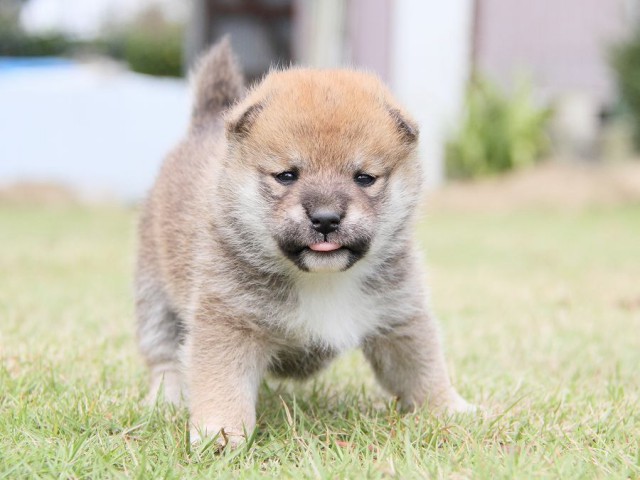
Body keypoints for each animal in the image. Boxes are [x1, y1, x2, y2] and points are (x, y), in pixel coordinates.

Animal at [136, 39, 476, 448]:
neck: (322, 279)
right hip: (155, 297)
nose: (326, 218)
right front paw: (220, 433)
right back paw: (165, 401)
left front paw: (450, 409)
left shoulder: (400, 317)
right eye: (287, 175)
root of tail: (204, 126)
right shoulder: (228, 323)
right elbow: (222, 383)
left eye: (364, 177)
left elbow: (423, 368)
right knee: (165, 359)